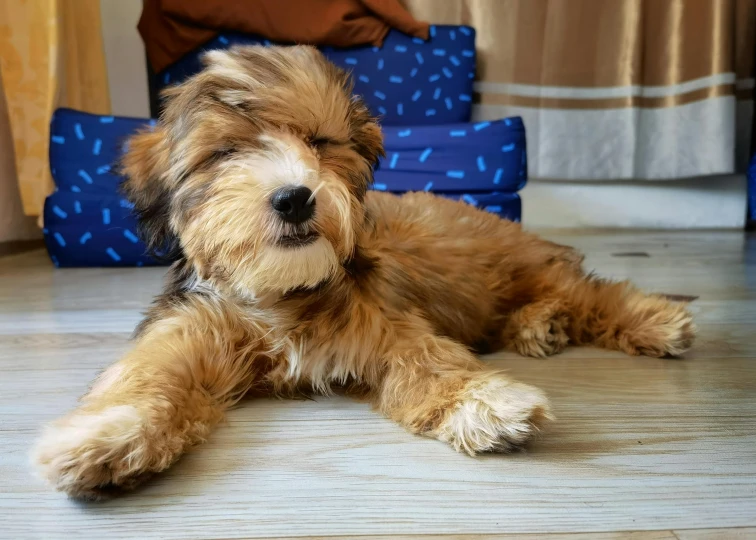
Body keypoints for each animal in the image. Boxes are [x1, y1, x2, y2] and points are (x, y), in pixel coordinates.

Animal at [35, 44, 696, 500]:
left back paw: (653, 320)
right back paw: (540, 326)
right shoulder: (193, 322)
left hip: (517, 266)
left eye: (319, 142)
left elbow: (429, 359)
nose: (294, 198)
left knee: (591, 294)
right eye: (225, 154)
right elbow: (149, 371)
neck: (281, 293)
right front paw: (105, 434)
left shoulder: (384, 321)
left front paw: (483, 402)